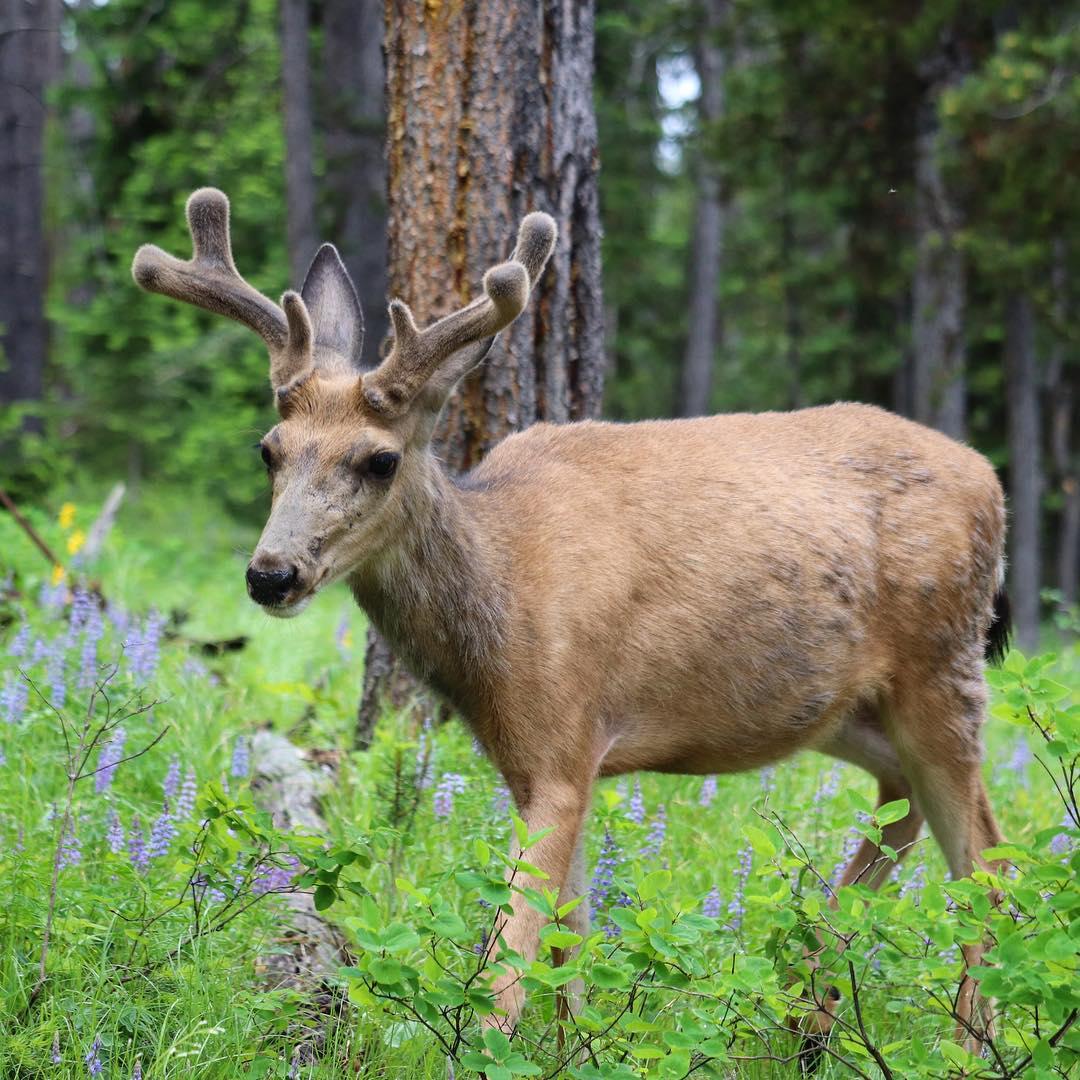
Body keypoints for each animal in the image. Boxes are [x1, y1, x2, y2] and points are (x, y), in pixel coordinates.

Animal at [135, 187, 1010, 1054]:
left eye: (379, 459)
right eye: (269, 448)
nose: (271, 573)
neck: (503, 592)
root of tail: (992, 481)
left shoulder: (561, 739)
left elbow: (510, 968)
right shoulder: (551, 760)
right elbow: (571, 952)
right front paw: (579, 1052)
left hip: (945, 668)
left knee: (987, 862)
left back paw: (963, 1046)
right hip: (847, 712)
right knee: (908, 815)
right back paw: (811, 1017)